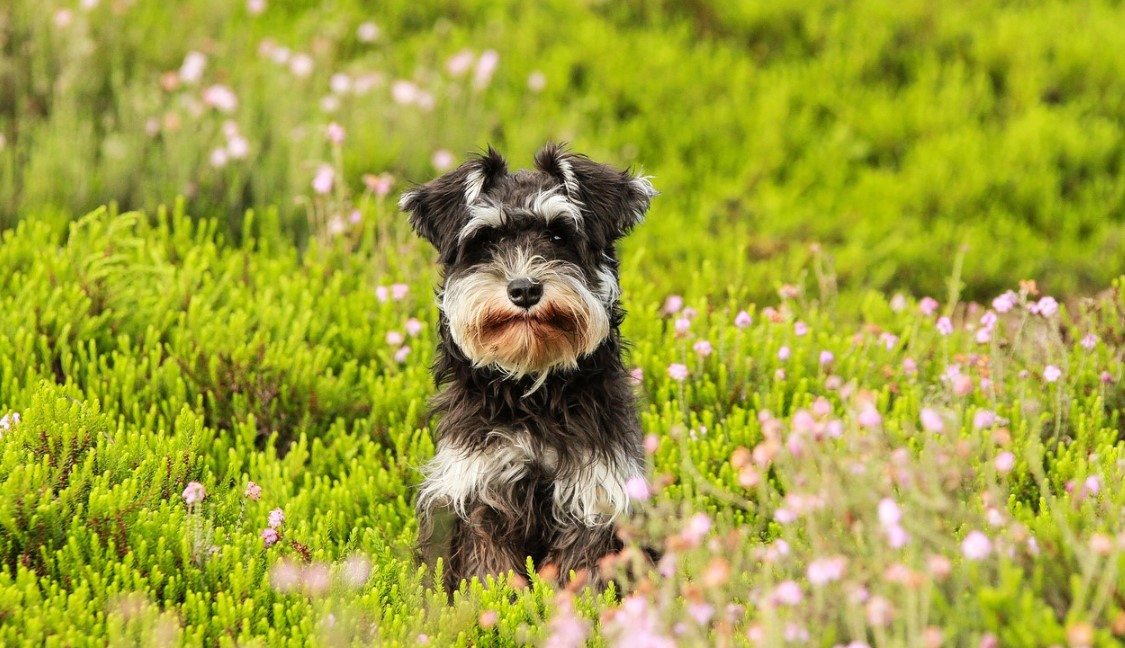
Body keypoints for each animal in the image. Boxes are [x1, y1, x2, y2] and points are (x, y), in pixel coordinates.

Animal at [400, 142, 657, 594]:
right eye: (485, 239)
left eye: (559, 234)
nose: (524, 289)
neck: (533, 388)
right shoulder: (480, 494)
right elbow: (490, 573)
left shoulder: (593, 498)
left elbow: (580, 574)